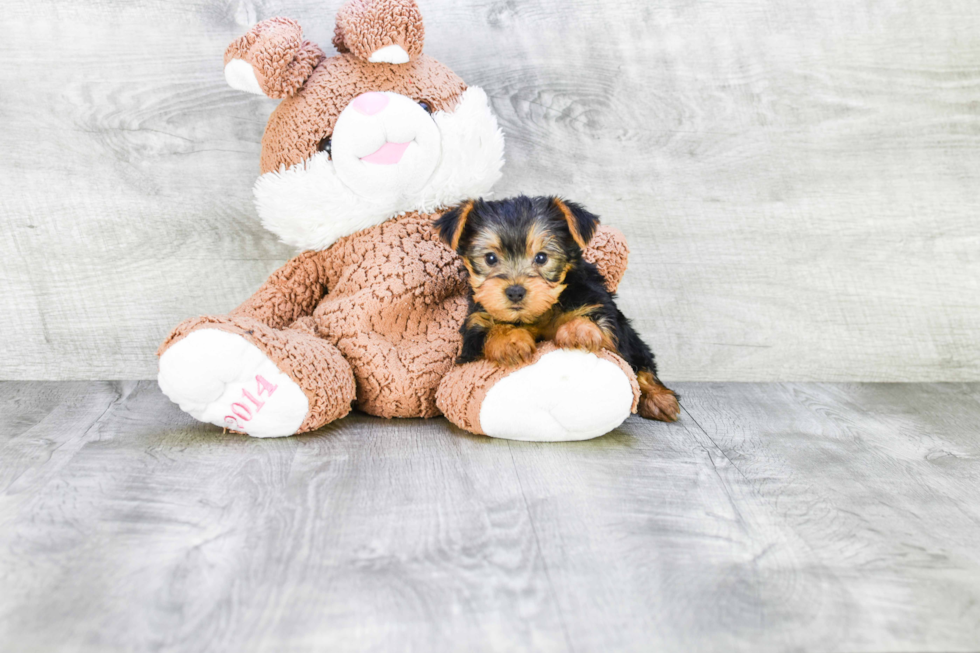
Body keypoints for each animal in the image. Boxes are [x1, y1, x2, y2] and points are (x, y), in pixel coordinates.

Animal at [438, 194, 680, 422]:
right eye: (490, 258)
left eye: (541, 257)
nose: (515, 291)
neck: (538, 314)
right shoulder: (473, 329)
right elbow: (487, 332)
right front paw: (509, 340)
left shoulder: (602, 310)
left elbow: (600, 327)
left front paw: (577, 331)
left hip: (634, 342)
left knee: (643, 365)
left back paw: (660, 399)